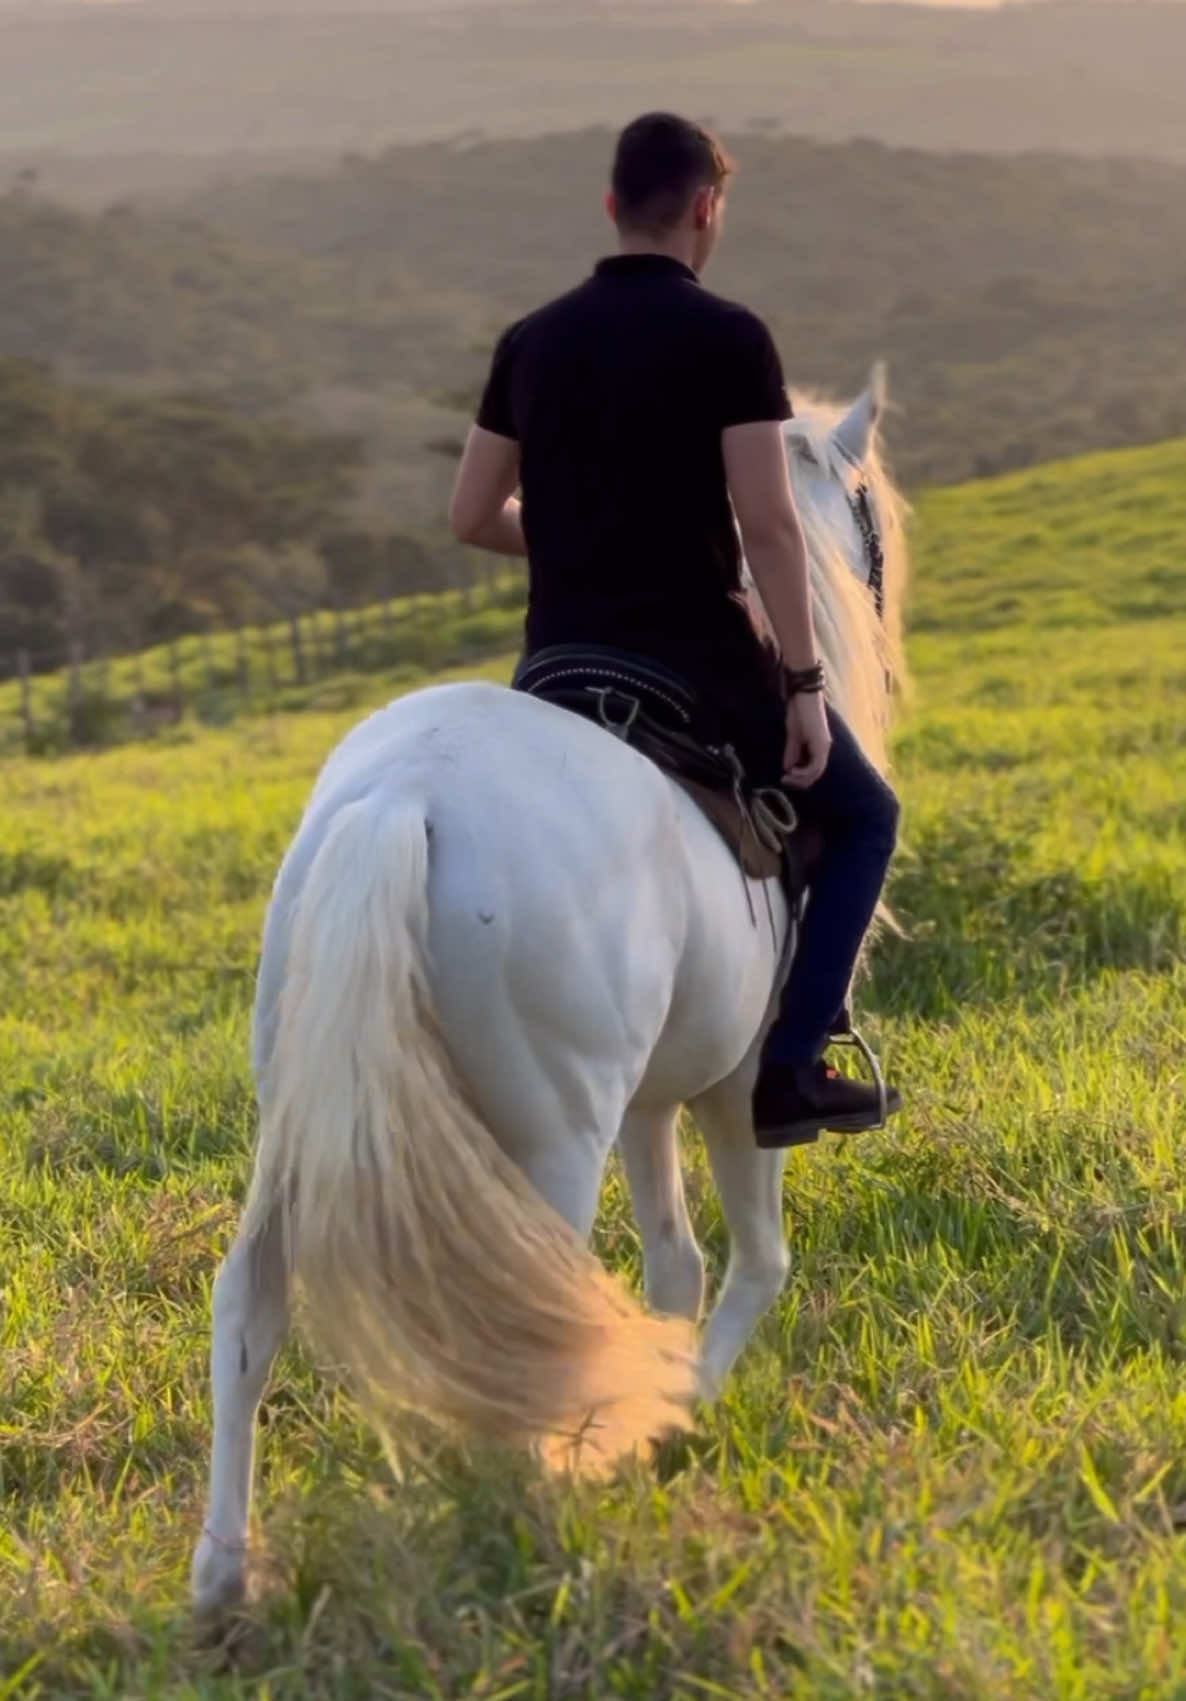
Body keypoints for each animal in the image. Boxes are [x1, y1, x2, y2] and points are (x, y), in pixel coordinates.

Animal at [189, 365, 905, 1612]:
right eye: (866, 514)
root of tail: (406, 797)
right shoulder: (737, 1089)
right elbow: (754, 1265)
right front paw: (670, 1419)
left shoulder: (649, 1100)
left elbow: (673, 1267)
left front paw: (650, 1409)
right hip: (553, 1138)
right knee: (523, 1316)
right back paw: (529, 1522)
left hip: (306, 1105)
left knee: (250, 1301)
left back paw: (225, 1573)